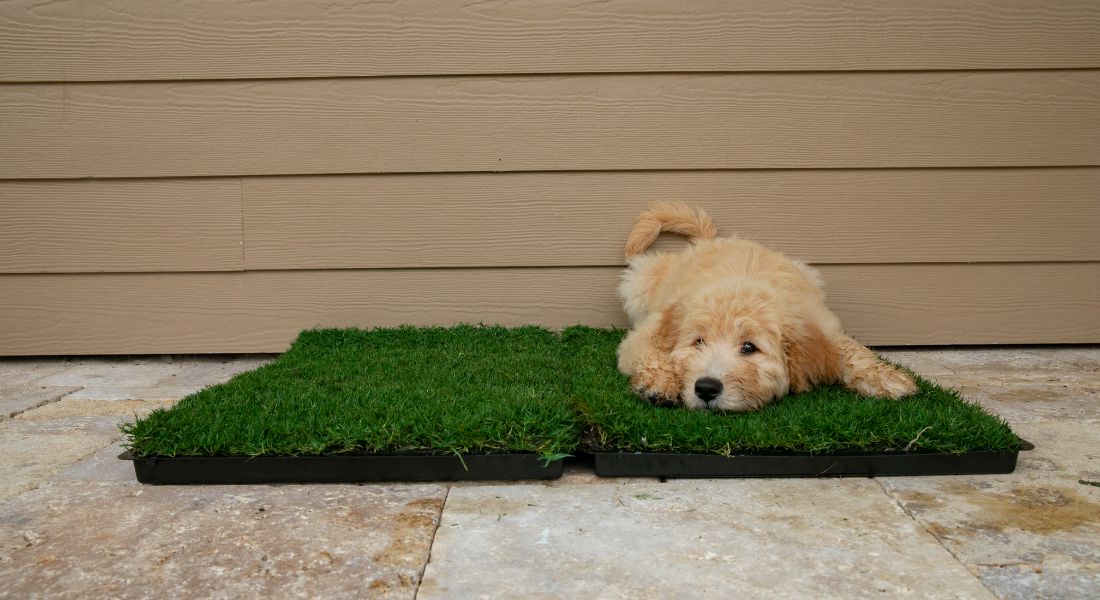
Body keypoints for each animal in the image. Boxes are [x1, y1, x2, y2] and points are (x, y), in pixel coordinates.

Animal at [620, 202, 919, 411]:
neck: (744, 283)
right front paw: (660, 383)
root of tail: (709, 241)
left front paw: (887, 378)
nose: (705, 388)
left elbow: (850, 351)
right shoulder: (646, 332)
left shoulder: (821, 324)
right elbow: (649, 352)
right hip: (638, 281)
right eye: (699, 342)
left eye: (749, 347)